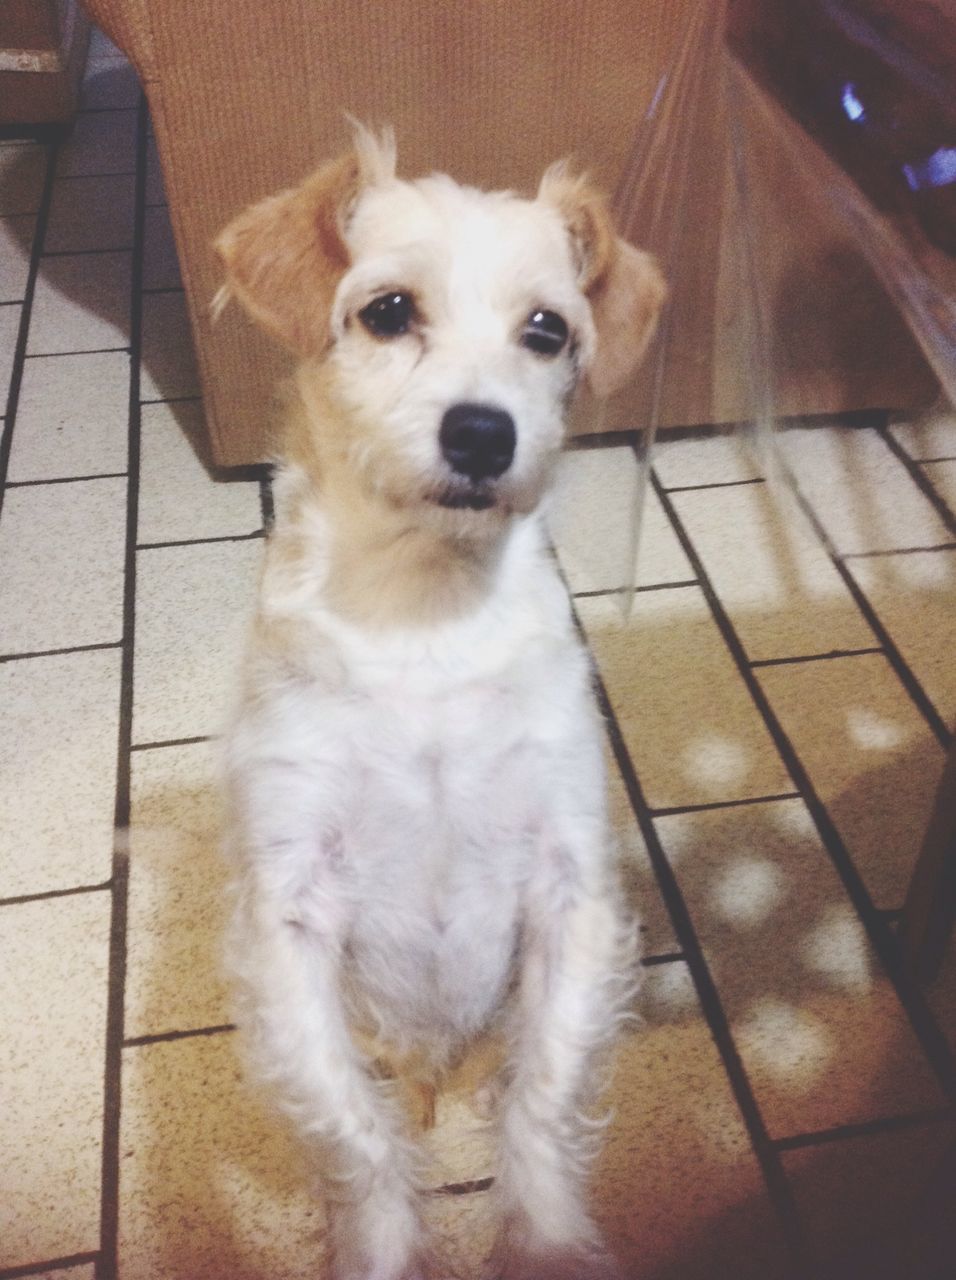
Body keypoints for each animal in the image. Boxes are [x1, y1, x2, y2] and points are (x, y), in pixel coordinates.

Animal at [216, 122, 665, 1280]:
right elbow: (355, 1136)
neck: (422, 619)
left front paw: (545, 1243)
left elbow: (543, 1103)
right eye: (386, 310)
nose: (481, 433)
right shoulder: (289, 914)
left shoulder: (569, 887)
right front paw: (378, 1242)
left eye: (546, 330)